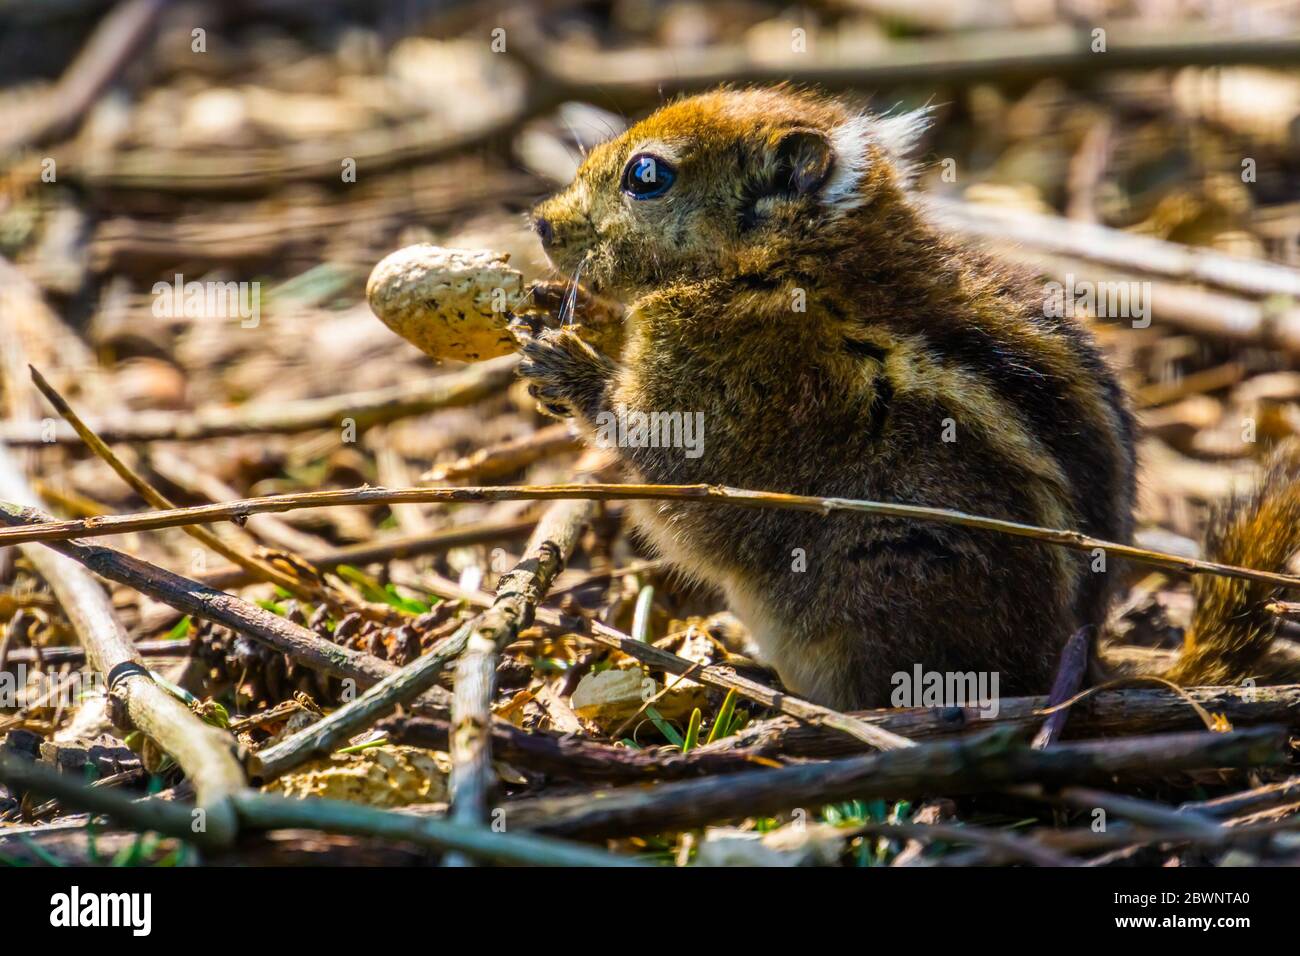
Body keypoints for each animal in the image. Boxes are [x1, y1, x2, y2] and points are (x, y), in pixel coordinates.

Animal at [516, 85, 1300, 711]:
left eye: (645, 175)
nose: (541, 221)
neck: (786, 262)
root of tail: (1075, 664)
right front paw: (559, 312)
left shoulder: (715, 386)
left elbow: (659, 460)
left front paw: (567, 362)